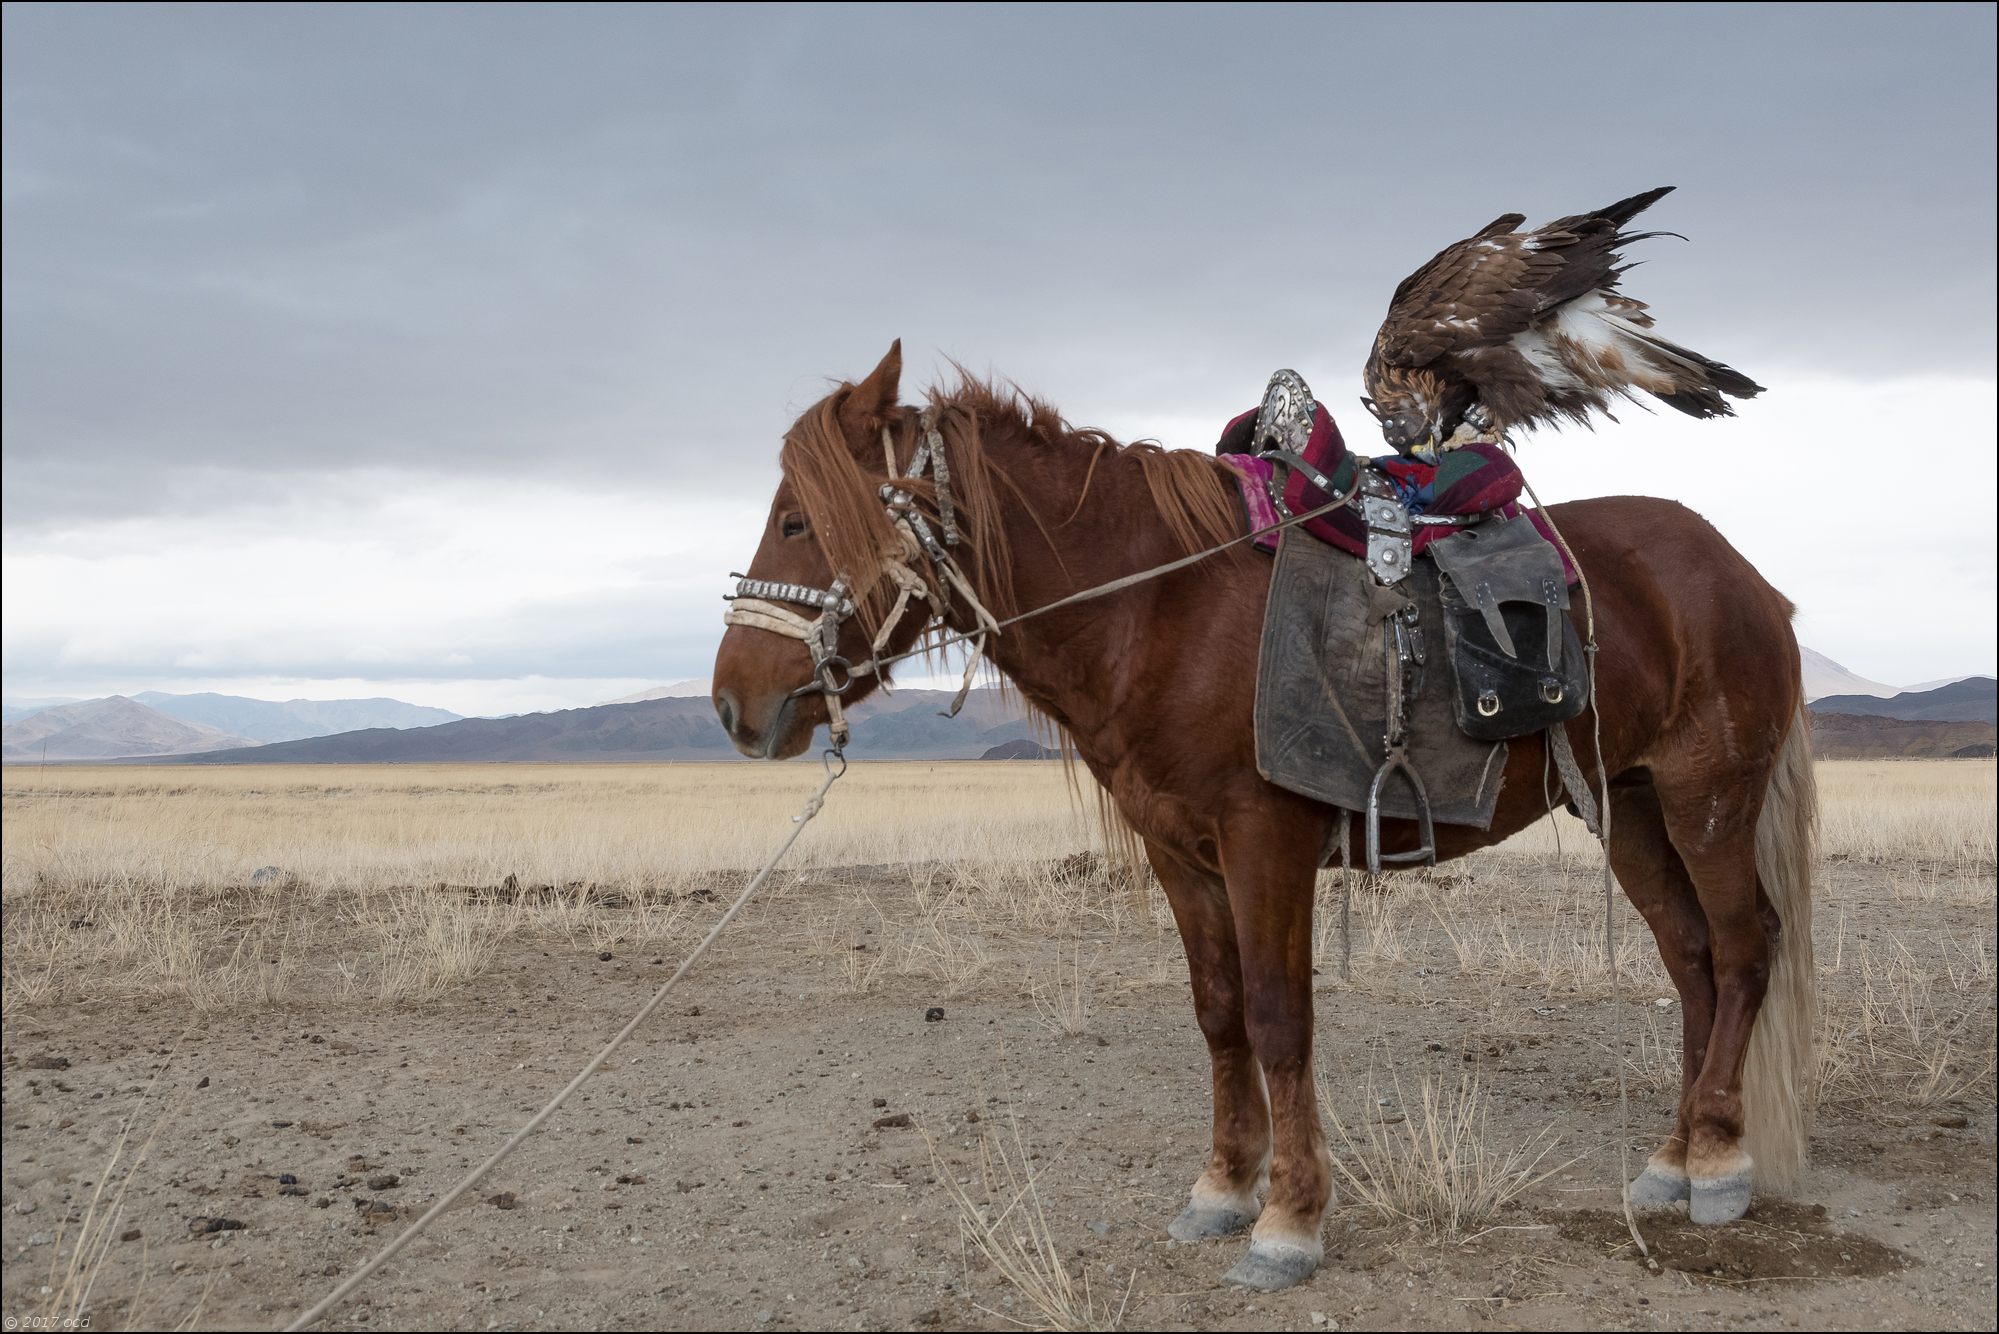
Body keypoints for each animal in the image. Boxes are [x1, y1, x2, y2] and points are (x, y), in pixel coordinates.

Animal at [711, 344, 1823, 1296]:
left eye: (799, 520)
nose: (734, 704)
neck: (1161, 614)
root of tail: (1746, 578)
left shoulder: (1265, 844)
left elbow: (1281, 1019)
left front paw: (1288, 1222)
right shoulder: (1182, 855)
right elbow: (1219, 1014)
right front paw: (1220, 1187)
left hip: (1705, 795)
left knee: (1740, 948)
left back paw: (1719, 1162)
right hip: (1627, 806)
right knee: (1690, 959)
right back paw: (1673, 1157)